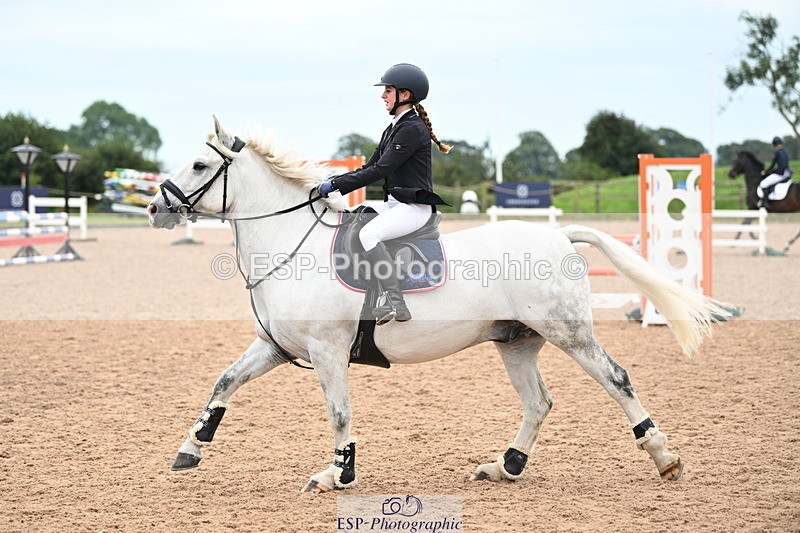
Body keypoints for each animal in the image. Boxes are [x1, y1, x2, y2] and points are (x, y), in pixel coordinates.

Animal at [147, 117, 730, 493]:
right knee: (538, 403)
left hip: (569, 333)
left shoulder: (328, 350)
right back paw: (505, 466)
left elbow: (339, 412)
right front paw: (191, 449)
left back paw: (664, 458)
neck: (292, 244)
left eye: (198, 164)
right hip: (516, 342)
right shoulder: (275, 346)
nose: (155, 208)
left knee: (616, 379)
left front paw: (338, 474)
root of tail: (560, 236)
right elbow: (225, 381)